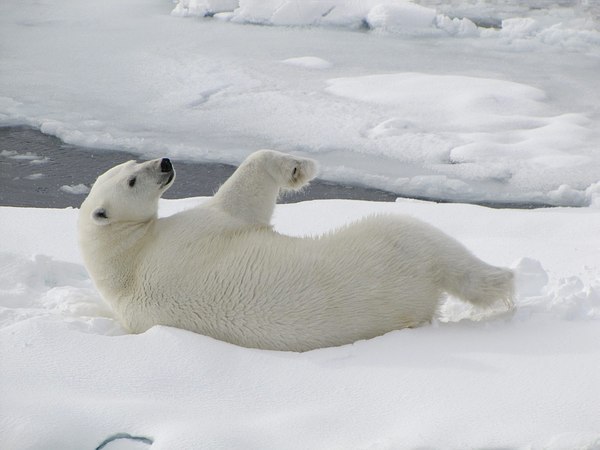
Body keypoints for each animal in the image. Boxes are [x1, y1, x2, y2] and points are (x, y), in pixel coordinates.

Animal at [77, 151, 512, 352]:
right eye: (133, 180)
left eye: (132, 162)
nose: (165, 163)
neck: (125, 259)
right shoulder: (195, 232)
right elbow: (239, 202)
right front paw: (299, 168)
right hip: (389, 245)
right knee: (428, 240)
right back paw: (503, 280)